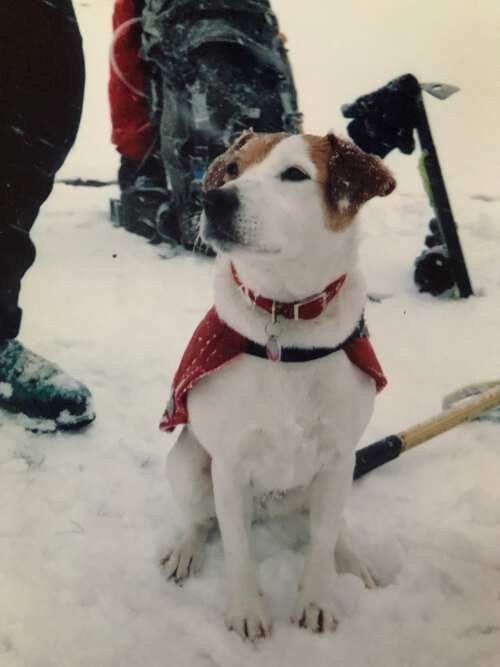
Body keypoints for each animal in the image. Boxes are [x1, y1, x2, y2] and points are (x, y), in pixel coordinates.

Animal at [159, 132, 394, 640]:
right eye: (232, 170)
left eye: (294, 174)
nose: (214, 200)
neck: (285, 321)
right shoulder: (229, 464)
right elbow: (237, 549)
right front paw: (247, 611)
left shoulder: (338, 457)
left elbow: (321, 542)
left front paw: (317, 601)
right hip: (188, 463)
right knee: (201, 519)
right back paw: (185, 549)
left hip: (331, 480)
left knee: (331, 526)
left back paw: (354, 558)